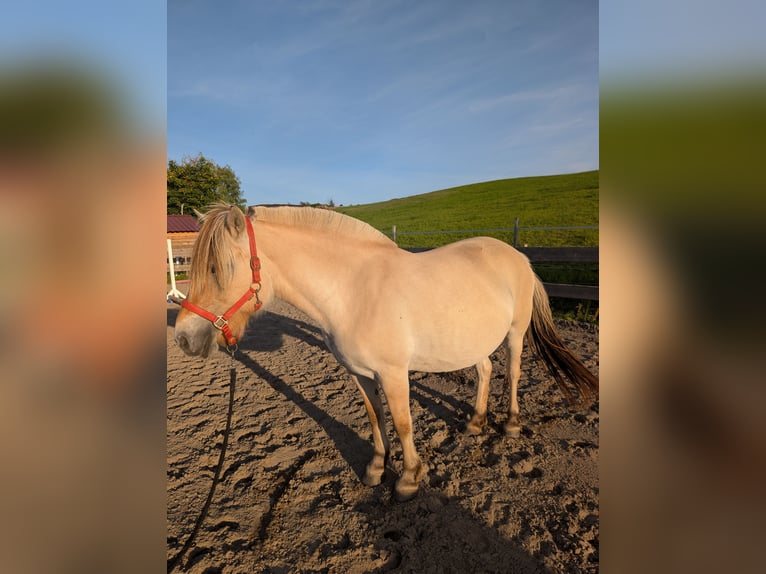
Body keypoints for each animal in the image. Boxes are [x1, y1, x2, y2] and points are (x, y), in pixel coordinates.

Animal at [174, 203, 598, 501]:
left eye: (217, 268)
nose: (183, 338)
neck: (352, 290)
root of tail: (518, 256)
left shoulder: (394, 374)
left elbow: (403, 422)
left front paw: (409, 479)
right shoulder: (359, 373)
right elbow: (376, 417)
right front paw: (377, 468)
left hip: (514, 333)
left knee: (511, 373)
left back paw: (509, 424)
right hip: (473, 339)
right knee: (484, 370)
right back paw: (476, 423)